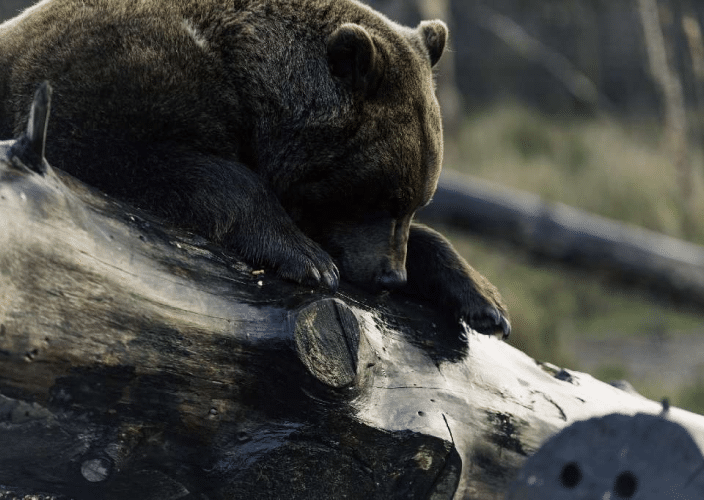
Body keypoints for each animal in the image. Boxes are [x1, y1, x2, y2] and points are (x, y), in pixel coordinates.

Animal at [0, 0, 510, 337]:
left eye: (417, 202)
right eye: (382, 196)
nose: (392, 277)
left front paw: (485, 301)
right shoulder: (107, 93)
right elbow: (173, 168)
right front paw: (308, 260)